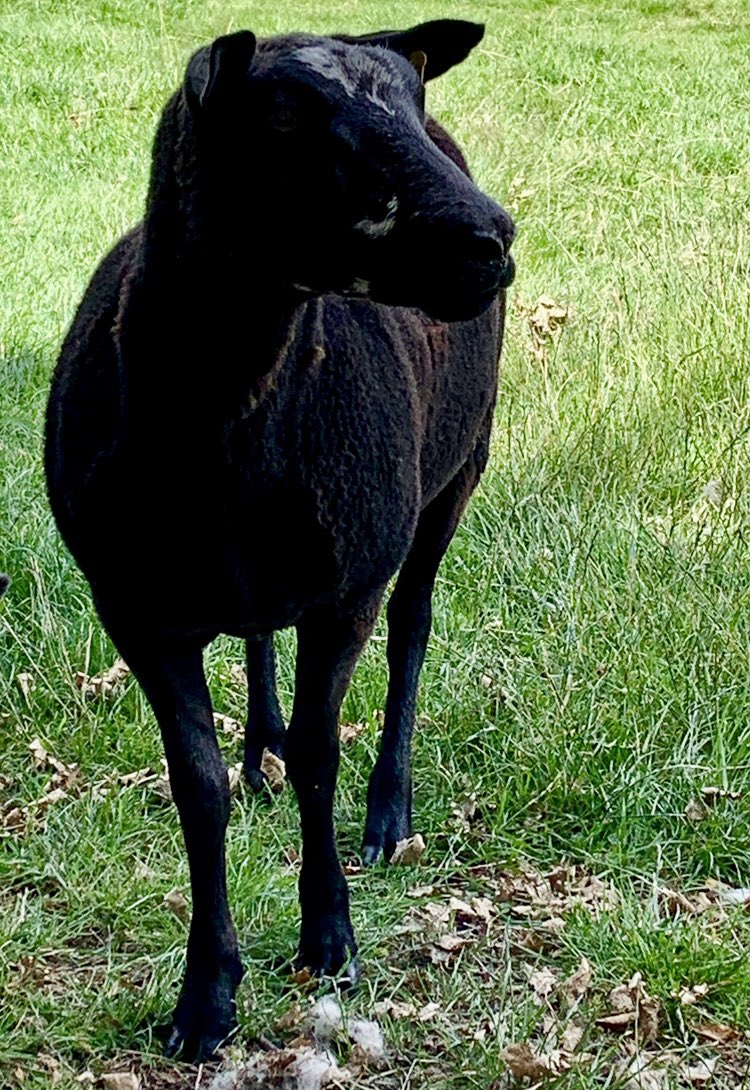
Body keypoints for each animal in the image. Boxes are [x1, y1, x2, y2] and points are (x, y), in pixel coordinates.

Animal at [45, 20, 515, 1061]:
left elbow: (318, 756)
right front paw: (206, 998)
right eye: (297, 126)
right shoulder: (137, 609)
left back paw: (387, 811)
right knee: (260, 639)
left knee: (413, 629)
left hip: (455, 471)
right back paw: (259, 744)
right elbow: (198, 790)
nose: (495, 239)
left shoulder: (346, 593)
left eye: (411, 103)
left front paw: (328, 937)